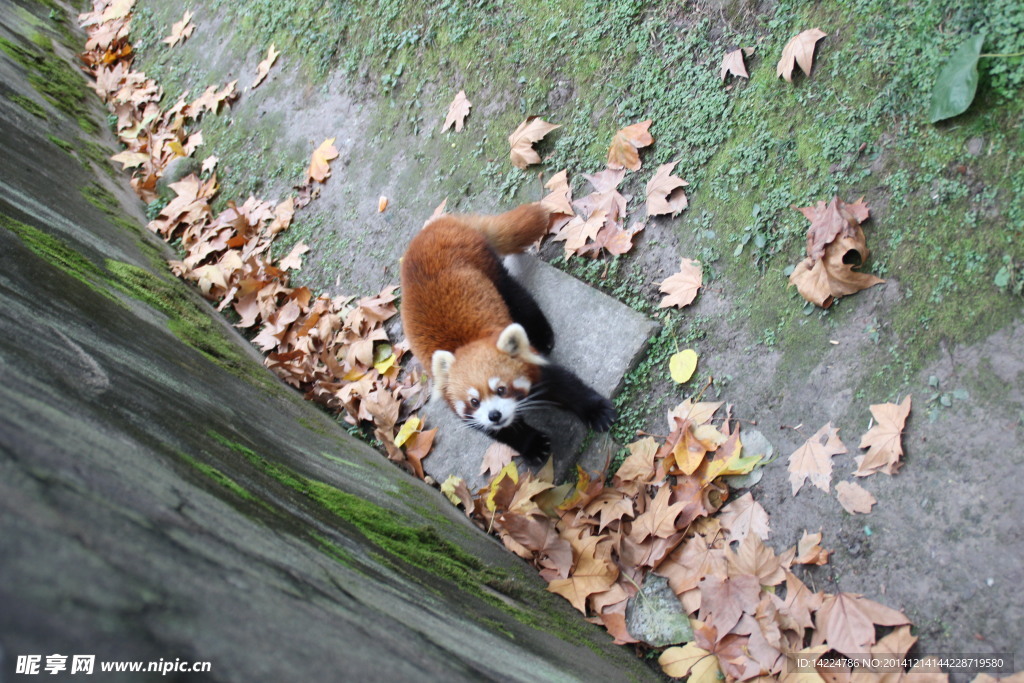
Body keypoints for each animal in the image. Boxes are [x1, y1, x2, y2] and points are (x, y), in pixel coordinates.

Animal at [401, 202, 614, 464]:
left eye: (501, 389)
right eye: (474, 401)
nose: (494, 414)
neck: (467, 344)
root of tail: (434, 228)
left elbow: (566, 385)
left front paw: (596, 410)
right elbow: (502, 432)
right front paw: (532, 445)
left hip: (487, 267)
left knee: (516, 294)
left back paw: (541, 333)